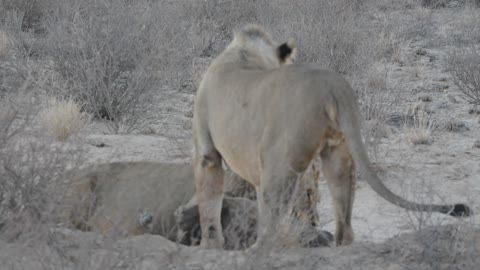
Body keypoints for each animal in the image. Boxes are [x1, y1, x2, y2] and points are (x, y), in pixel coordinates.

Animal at [193, 24, 470, 249]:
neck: (245, 54)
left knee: (272, 224)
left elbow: (209, 200)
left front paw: (210, 246)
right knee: (344, 224)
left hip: (279, 161)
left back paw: (257, 251)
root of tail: (333, 85)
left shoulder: (208, 151)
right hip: (339, 153)